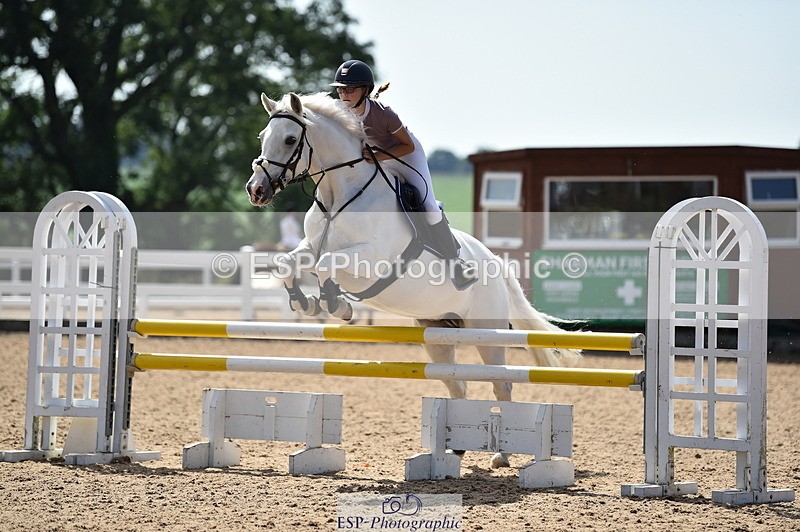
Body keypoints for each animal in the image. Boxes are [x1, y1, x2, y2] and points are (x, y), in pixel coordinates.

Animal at [246, 92, 581, 468]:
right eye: (262, 136)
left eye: (290, 139)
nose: (256, 190)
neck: (338, 197)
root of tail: (496, 263)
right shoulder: (309, 247)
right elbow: (288, 264)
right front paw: (303, 301)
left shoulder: (372, 258)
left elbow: (326, 265)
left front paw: (336, 304)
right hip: (438, 332)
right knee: (457, 385)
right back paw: (453, 449)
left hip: (487, 332)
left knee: (502, 385)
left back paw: (502, 455)